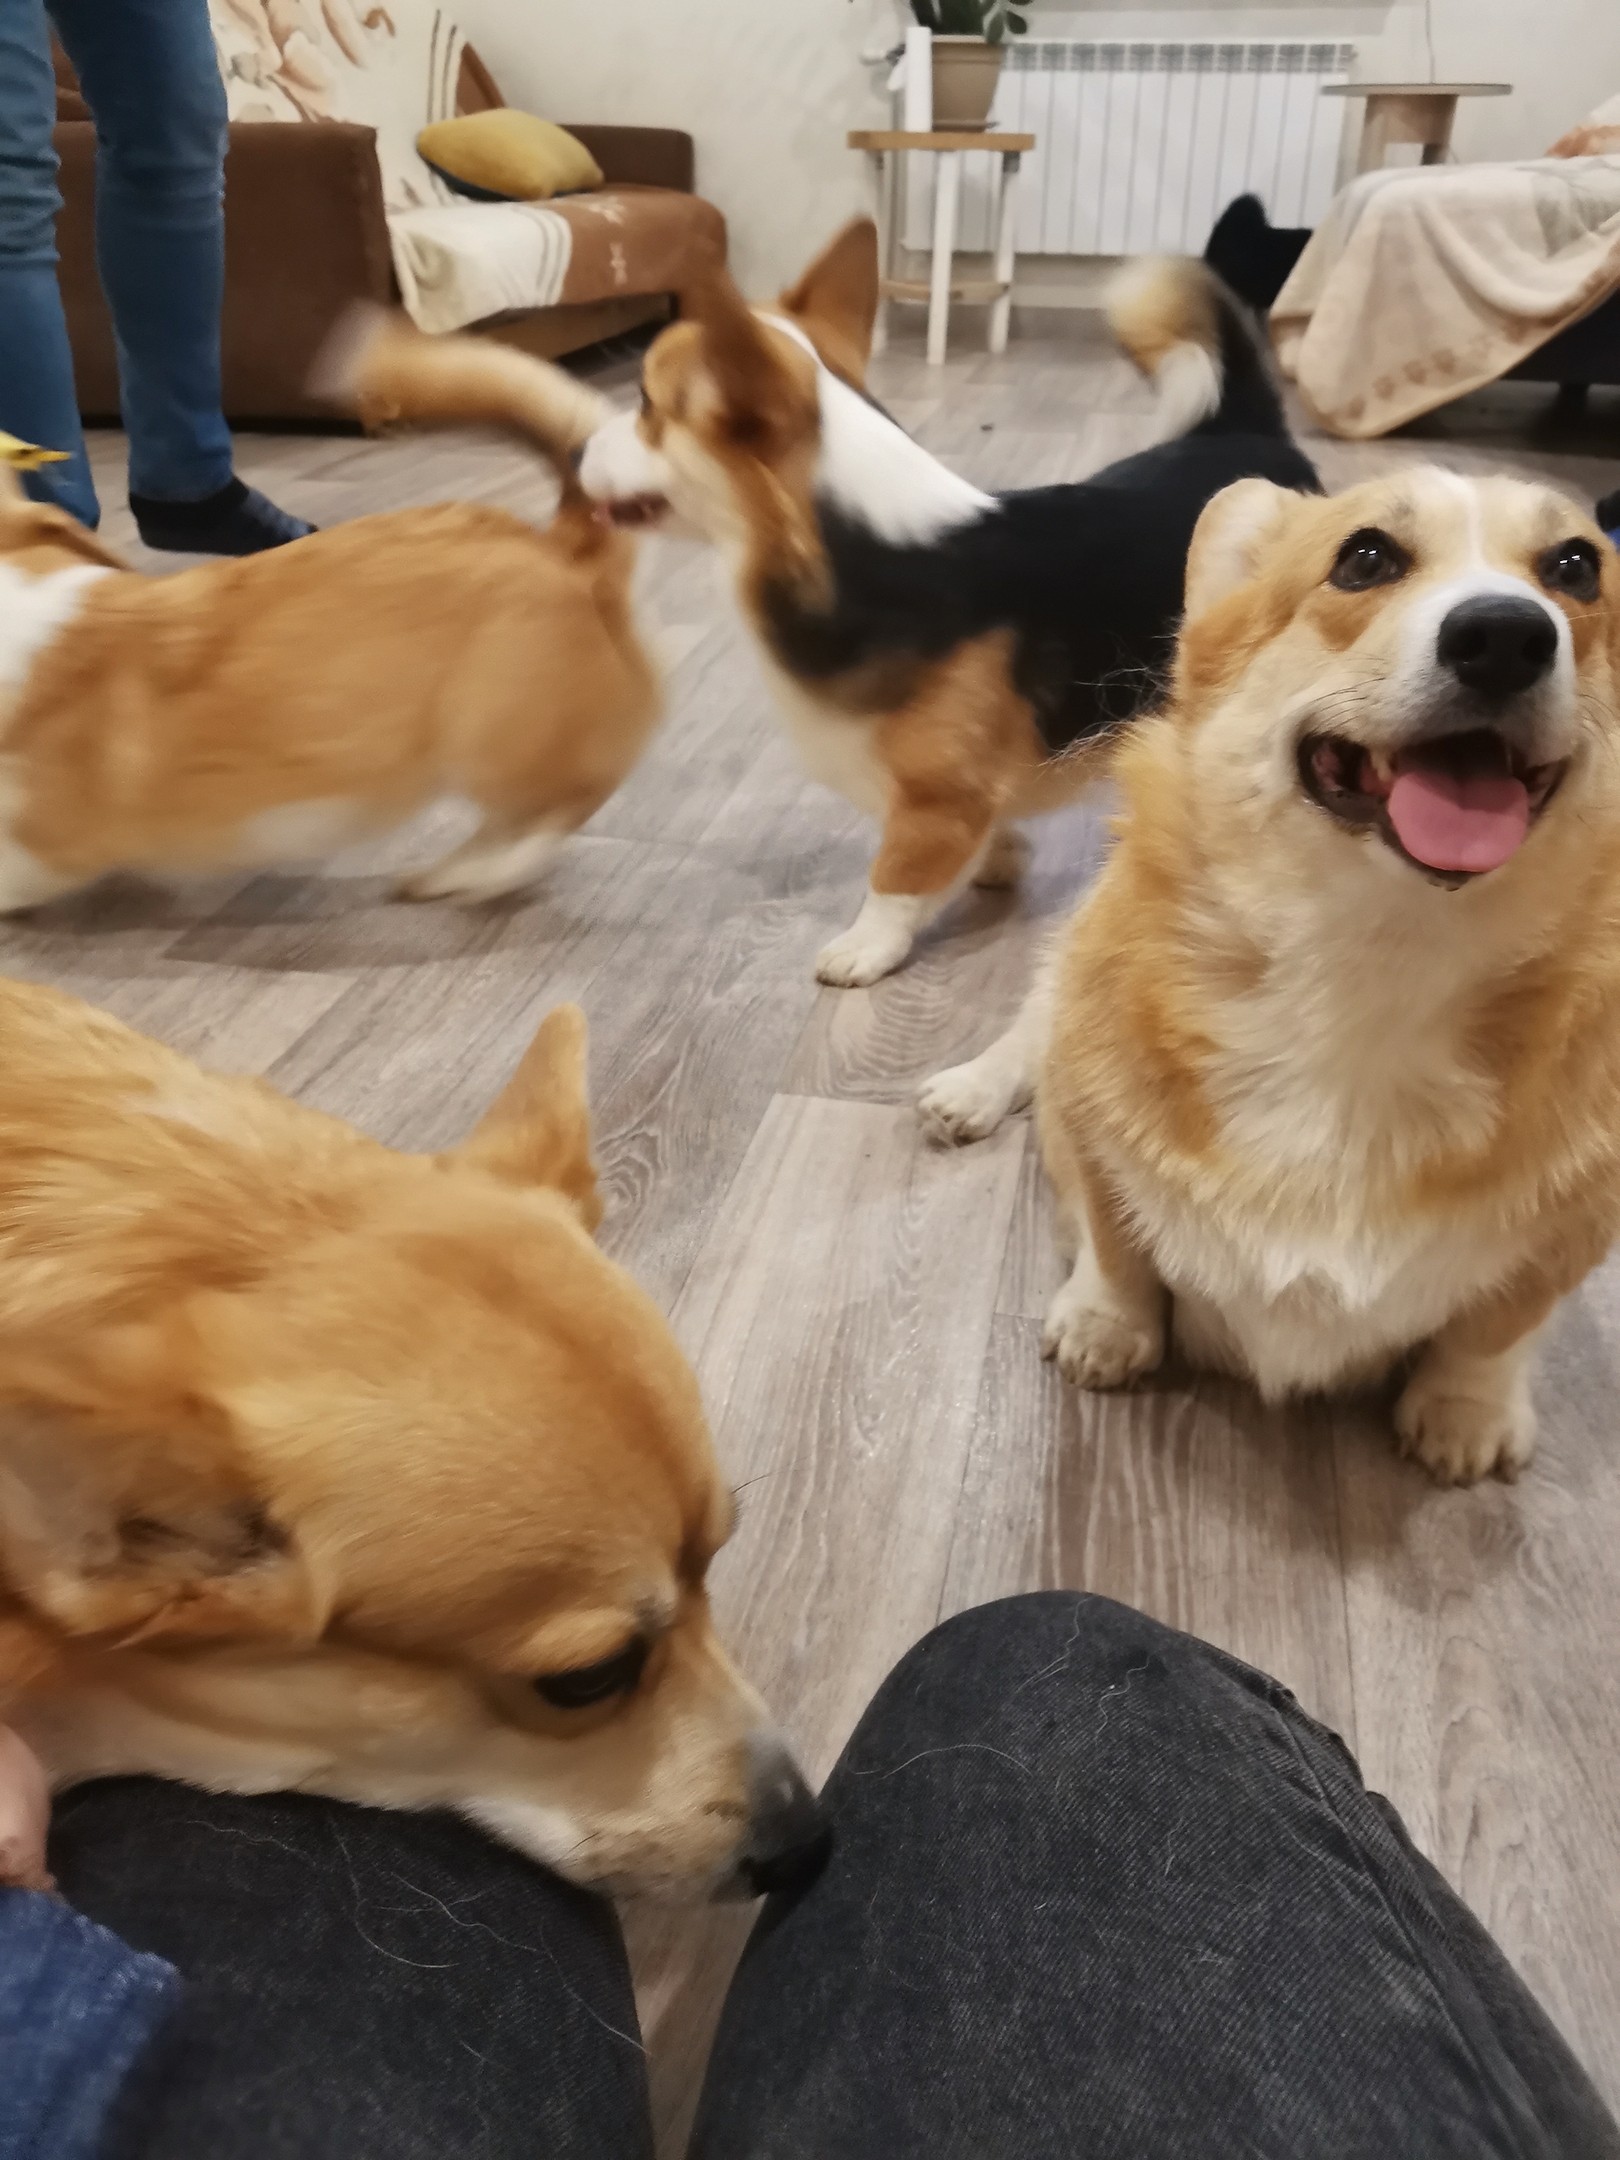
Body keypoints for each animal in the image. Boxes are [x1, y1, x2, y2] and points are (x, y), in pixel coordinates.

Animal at [579, 220, 1318, 990]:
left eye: (646, 405)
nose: (575, 447)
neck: (864, 552)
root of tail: (1249, 430)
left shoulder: (935, 801)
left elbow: (895, 878)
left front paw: (864, 947)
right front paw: (1001, 857)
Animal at [953, 465, 1620, 1486]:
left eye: (1577, 569)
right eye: (1366, 557)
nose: (1507, 635)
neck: (1372, 964)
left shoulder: (1571, 1233)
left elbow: (1495, 1328)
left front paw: (1464, 1415)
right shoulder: (1096, 1134)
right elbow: (1117, 1248)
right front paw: (1107, 1331)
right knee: (1034, 1019)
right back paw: (966, 1089)